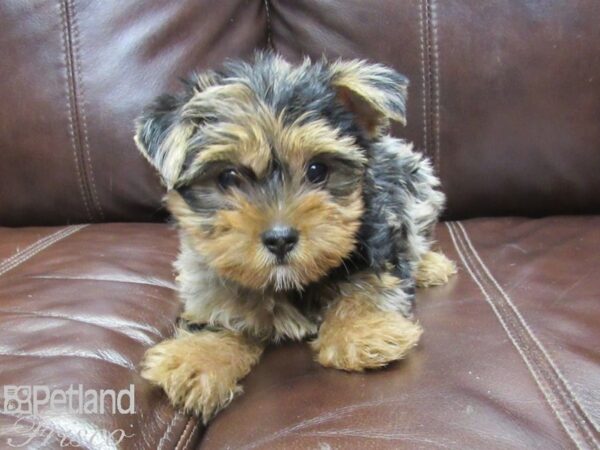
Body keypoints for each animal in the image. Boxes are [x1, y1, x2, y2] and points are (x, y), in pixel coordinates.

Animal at [136, 51, 454, 422]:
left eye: (317, 170)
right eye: (228, 177)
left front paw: (363, 330)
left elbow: (369, 284)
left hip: (416, 182)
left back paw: (431, 266)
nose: (280, 238)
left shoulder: (378, 238)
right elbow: (220, 313)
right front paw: (198, 358)